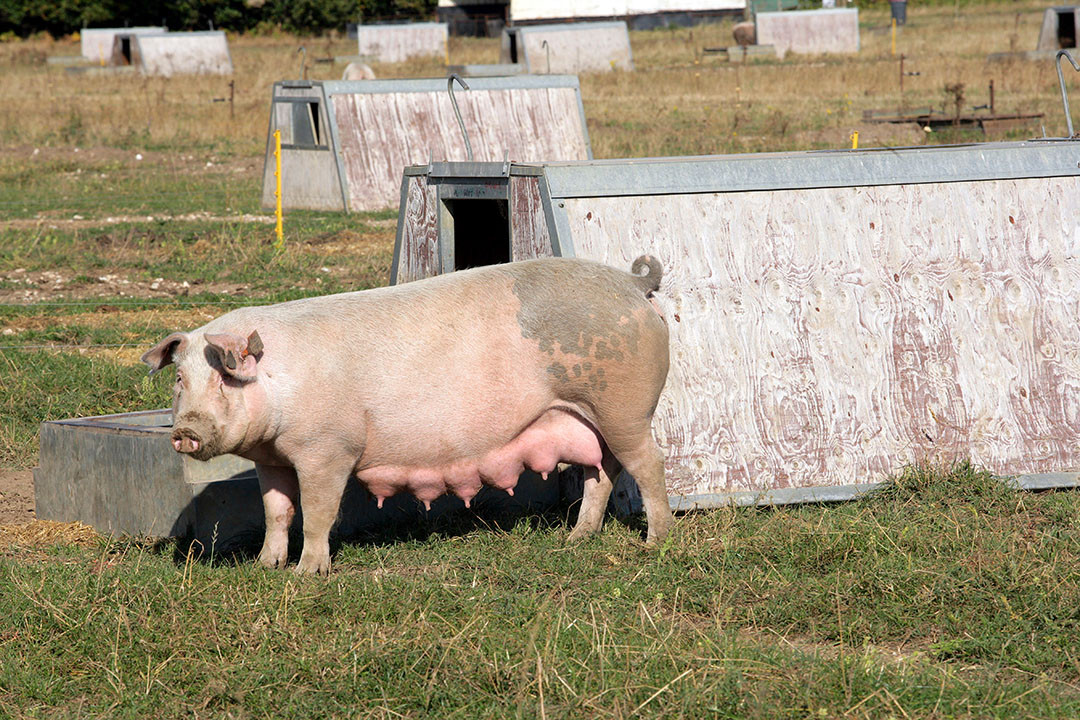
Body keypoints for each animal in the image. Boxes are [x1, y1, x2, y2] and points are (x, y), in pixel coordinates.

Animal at [139, 255, 669, 578]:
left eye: (224, 378)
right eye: (180, 379)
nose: (184, 431)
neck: (279, 382)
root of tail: (633, 282)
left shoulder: (327, 450)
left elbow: (317, 512)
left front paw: (308, 573)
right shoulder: (272, 459)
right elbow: (276, 511)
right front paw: (265, 567)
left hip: (625, 408)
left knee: (648, 465)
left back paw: (654, 544)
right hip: (590, 420)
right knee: (601, 473)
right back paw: (576, 539)